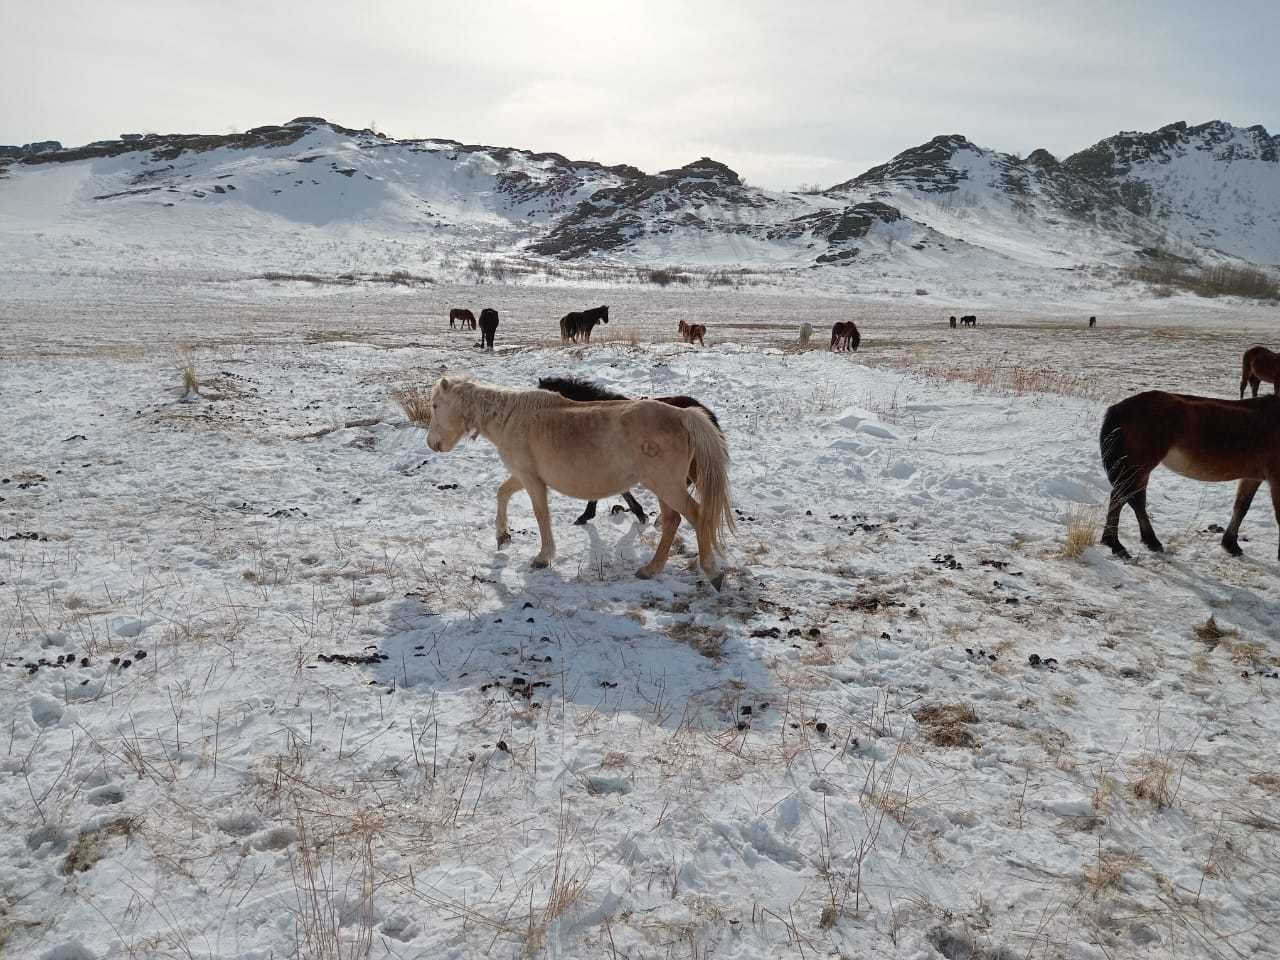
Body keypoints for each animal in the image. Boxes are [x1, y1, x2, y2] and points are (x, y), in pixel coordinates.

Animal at [427, 378, 737, 591]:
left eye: (435, 406)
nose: (432, 444)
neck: (511, 418)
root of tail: (683, 415)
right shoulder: (524, 476)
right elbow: (502, 493)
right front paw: (503, 536)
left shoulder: (532, 481)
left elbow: (541, 516)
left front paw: (543, 558)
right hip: (664, 488)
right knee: (672, 520)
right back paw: (651, 569)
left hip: (668, 486)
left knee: (697, 515)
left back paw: (711, 572)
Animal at [1095, 386, 1280, 560]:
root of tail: (1119, 408)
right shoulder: (1275, 480)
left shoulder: (1252, 477)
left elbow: (1241, 507)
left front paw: (1230, 545)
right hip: (1137, 467)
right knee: (1123, 497)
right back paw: (1119, 544)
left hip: (1137, 469)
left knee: (1131, 498)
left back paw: (1142, 541)